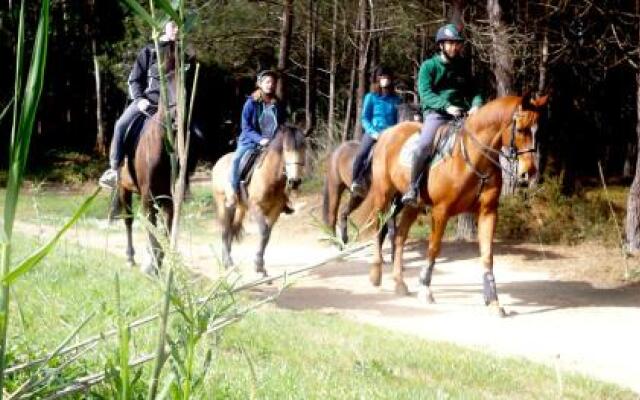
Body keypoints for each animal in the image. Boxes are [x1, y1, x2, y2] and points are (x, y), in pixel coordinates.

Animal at [211, 126, 306, 276]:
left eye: (304, 147)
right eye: (286, 149)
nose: (295, 181)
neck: (271, 178)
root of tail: (218, 162)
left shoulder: (275, 210)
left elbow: (267, 235)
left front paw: (260, 265)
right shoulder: (256, 207)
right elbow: (264, 231)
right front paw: (258, 265)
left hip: (240, 209)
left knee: (232, 229)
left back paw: (227, 260)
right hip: (224, 205)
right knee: (225, 229)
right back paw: (229, 263)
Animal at [362, 93, 548, 316]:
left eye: (539, 131)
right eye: (520, 129)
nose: (529, 173)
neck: (475, 159)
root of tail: (387, 133)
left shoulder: (488, 213)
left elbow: (487, 255)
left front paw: (493, 301)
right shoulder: (441, 212)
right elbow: (434, 249)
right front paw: (425, 289)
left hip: (412, 206)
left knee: (399, 237)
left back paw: (399, 282)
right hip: (383, 195)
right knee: (377, 229)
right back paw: (375, 273)